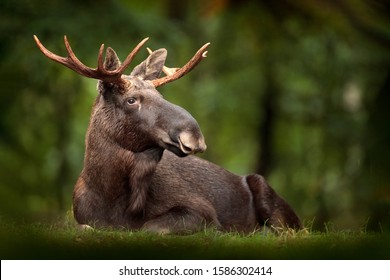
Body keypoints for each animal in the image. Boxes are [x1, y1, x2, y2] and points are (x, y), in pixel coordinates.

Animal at [34, 35, 302, 234]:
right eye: (131, 100)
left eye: (160, 95)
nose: (194, 136)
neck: (112, 198)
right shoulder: (80, 218)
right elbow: (86, 228)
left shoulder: (203, 211)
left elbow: (150, 228)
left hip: (269, 194)